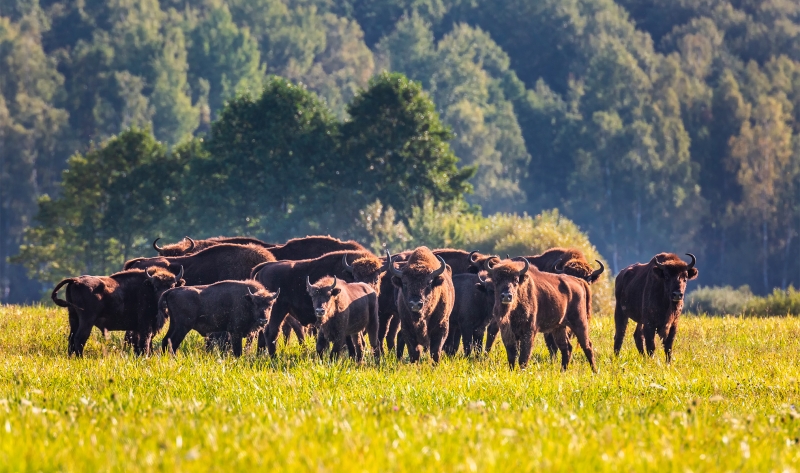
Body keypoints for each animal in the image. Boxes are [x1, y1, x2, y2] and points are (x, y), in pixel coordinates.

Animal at [50, 266, 185, 354]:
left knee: (71, 339)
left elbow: (137, 343)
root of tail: (76, 280)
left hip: (73, 317)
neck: (147, 287)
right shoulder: (146, 325)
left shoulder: (137, 328)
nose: (164, 302)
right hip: (86, 320)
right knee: (79, 338)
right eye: (156, 287)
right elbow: (145, 342)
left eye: (172, 286)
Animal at [252, 251, 386, 354]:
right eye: (356, 277)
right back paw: (273, 357)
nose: (367, 291)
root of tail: (266, 267)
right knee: (271, 333)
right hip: (276, 311)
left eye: (377, 278)